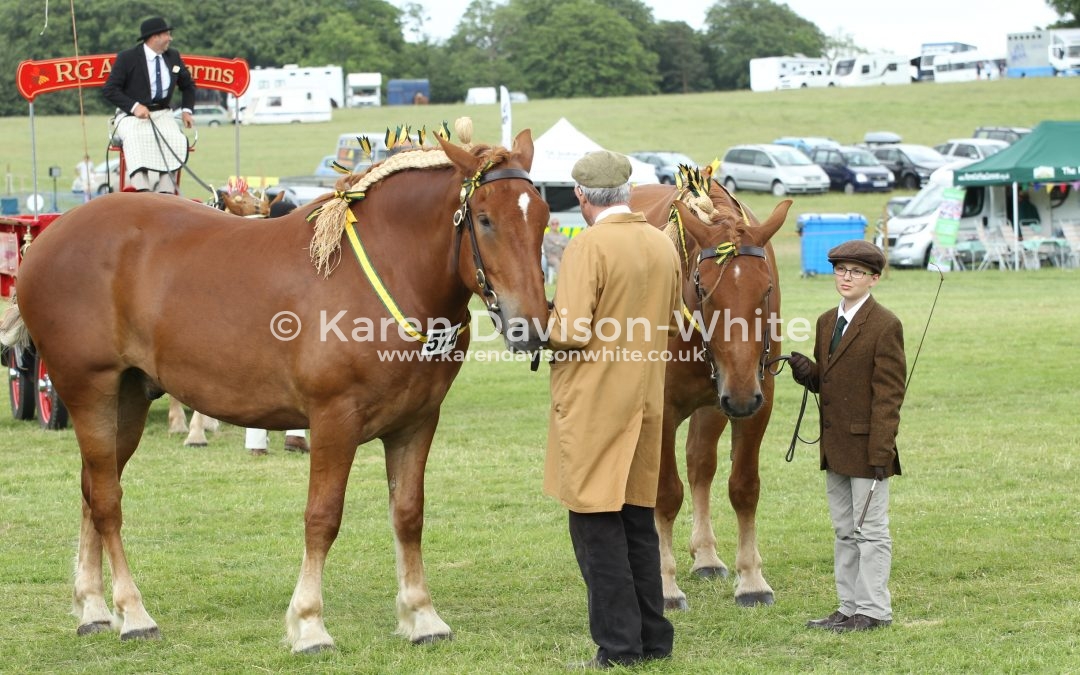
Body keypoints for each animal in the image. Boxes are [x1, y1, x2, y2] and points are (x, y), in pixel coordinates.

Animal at [1, 125, 549, 652]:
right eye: (484, 220)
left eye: (543, 218)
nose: (530, 327)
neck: (389, 271)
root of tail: (43, 241)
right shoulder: (333, 420)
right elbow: (322, 518)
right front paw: (309, 624)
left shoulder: (416, 422)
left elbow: (408, 515)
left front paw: (421, 616)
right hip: (88, 390)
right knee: (108, 500)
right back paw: (133, 614)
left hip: (128, 398)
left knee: (92, 489)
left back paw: (93, 608)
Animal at [630, 172, 790, 610]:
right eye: (702, 288)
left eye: (766, 288)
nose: (741, 394)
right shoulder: (662, 410)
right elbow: (665, 494)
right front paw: (665, 585)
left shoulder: (755, 398)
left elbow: (743, 487)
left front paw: (751, 578)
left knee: (700, 462)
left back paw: (705, 555)